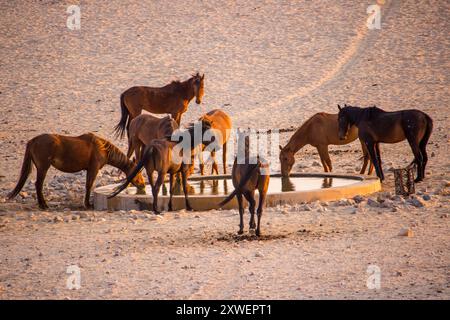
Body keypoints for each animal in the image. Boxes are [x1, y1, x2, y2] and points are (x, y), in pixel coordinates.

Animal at [7, 133, 145, 210]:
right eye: (138, 173)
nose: (143, 186)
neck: (103, 149)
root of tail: (33, 141)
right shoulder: (93, 169)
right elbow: (89, 185)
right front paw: (87, 204)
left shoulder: (89, 169)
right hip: (43, 168)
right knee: (38, 184)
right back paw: (43, 205)